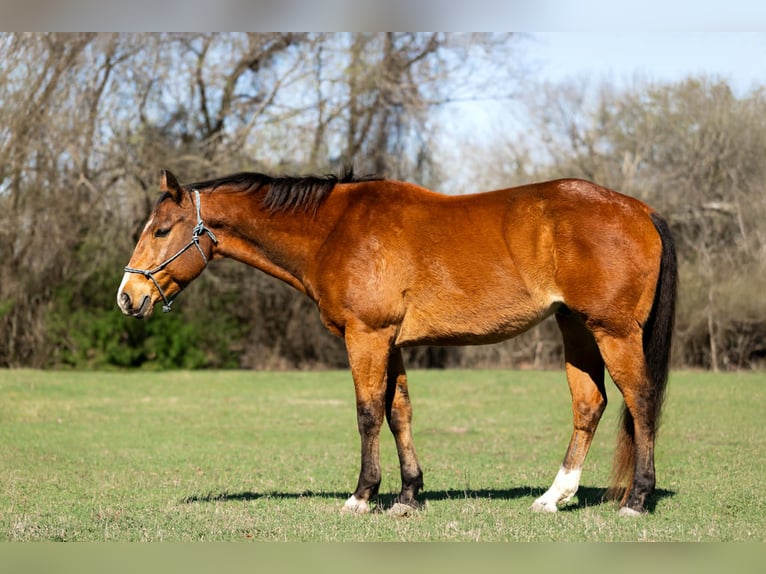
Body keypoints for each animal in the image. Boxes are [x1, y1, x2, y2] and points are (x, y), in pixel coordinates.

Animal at [117, 167, 677, 517]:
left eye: (162, 230)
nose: (128, 296)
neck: (335, 229)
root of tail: (641, 210)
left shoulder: (367, 335)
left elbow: (368, 412)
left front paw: (363, 495)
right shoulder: (393, 342)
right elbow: (398, 412)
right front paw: (409, 494)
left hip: (613, 331)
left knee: (642, 400)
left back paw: (635, 500)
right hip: (576, 327)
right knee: (590, 404)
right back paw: (554, 496)